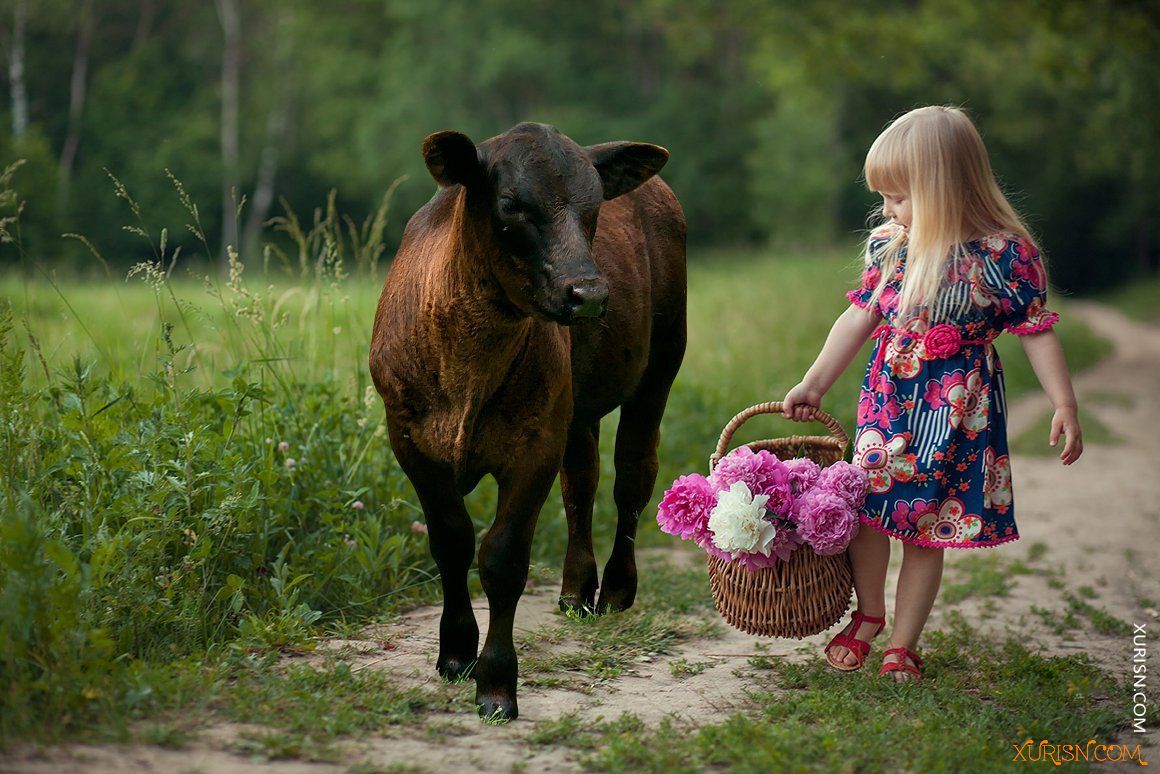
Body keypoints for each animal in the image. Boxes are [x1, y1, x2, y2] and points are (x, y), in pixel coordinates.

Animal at [366, 121, 682, 719]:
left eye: (594, 206)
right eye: (511, 203)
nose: (588, 294)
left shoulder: (535, 444)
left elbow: (503, 558)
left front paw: (495, 681)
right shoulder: (411, 441)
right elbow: (451, 541)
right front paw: (455, 651)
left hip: (659, 368)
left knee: (632, 476)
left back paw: (616, 588)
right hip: (576, 408)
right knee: (581, 483)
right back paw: (576, 590)